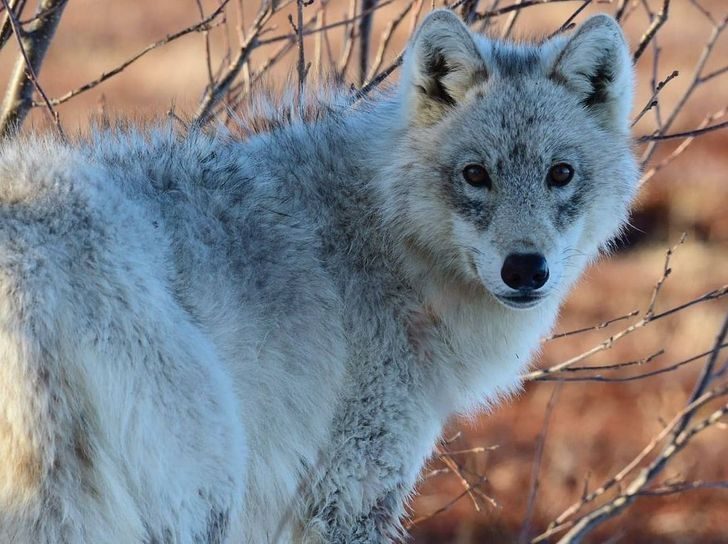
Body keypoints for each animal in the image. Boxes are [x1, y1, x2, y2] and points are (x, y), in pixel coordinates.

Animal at [0, 8, 636, 544]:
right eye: (475, 174)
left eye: (560, 174)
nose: (526, 269)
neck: (386, 235)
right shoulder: (350, 492)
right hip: (203, 492)